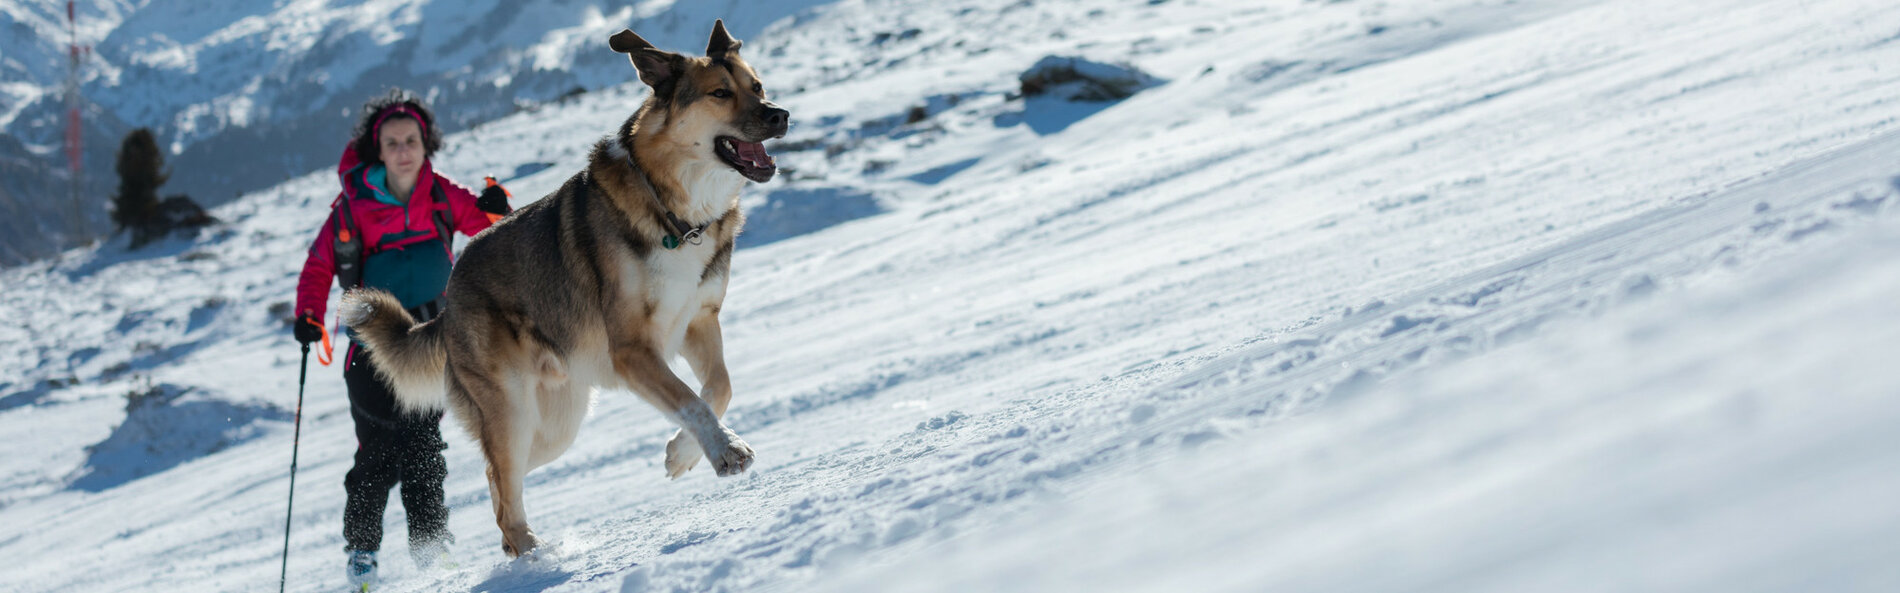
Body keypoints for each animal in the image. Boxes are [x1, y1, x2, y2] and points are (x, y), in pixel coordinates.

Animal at [342, 18, 786, 554]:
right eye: (720, 93)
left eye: (756, 86)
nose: (780, 115)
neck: (676, 211)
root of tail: (448, 302)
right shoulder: (633, 350)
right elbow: (690, 399)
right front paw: (726, 450)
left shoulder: (698, 321)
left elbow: (717, 388)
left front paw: (683, 453)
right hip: (514, 413)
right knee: (503, 484)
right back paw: (531, 554)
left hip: (554, 426)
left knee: (498, 479)